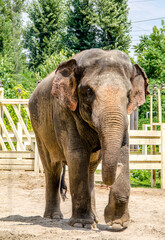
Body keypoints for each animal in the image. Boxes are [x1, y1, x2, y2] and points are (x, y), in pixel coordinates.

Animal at [29, 47, 149, 230]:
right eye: (88, 92)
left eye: (129, 93)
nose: (118, 167)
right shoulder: (64, 111)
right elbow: (77, 155)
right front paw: (81, 224)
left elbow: (123, 150)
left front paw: (117, 225)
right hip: (39, 129)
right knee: (52, 168)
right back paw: (54, 217)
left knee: (90, 170)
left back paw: (95, 220)